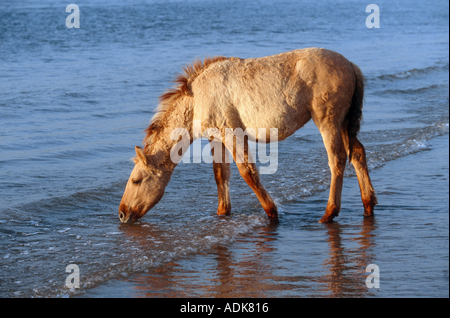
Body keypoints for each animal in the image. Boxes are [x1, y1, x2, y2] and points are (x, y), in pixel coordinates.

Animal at [118, 48, 376, 225]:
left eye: (136, 180)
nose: (122, 213)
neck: (197, 99)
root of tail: (351, 65)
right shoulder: (216, 138)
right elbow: (220, 175)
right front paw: (223, 213)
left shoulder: (232, 133)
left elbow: (247, 172)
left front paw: (272, 212)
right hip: (344, 123)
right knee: (357, 154)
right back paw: (368, 204)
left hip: (328, 122)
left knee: (337, 160)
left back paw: (329, 213)